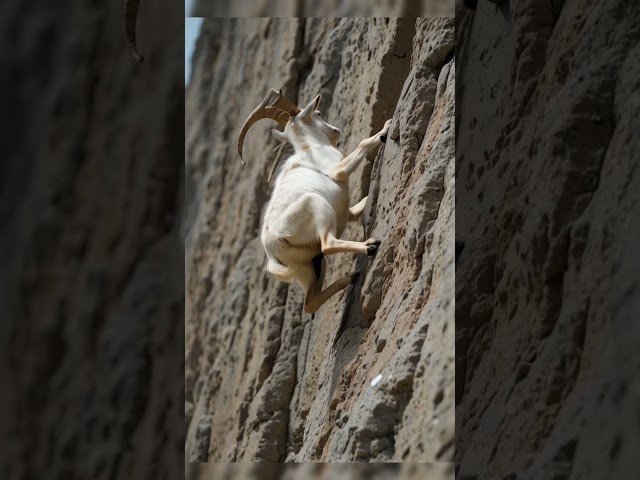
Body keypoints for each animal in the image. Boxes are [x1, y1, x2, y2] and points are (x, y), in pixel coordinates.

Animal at [236, 89, 390, 316]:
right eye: (318, 113)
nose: (336, 131)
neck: (310, 148)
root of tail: (272, 248)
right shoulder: (338, 169)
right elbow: (361, 144)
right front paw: (386, 127)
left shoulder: (347, 212)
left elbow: (359, 206)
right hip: (316, 205)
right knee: (328, 244)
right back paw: (369, 246)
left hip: (308, 265)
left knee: (310, 303)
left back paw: (351, 277)